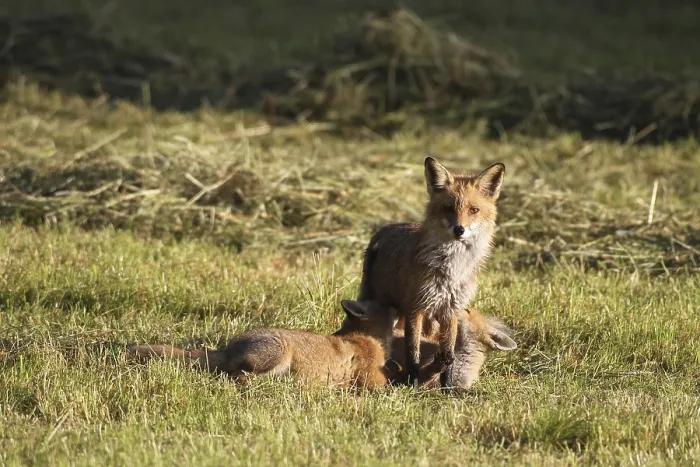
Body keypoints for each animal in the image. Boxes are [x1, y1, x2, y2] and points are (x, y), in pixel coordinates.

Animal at [127, 299, 398, 390]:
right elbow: (385, 386)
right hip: (277, 356)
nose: (399, 306)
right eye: (386, 306)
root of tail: (228, 347)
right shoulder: (371, 378)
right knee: (238, 378)